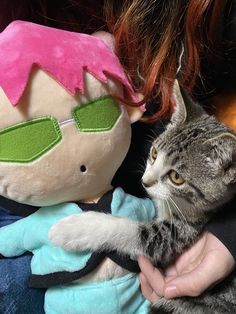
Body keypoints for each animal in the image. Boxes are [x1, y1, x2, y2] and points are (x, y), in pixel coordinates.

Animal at [48, 81, 235, 314]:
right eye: (154, 154)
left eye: (176, 177)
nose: (145, 182)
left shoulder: (183, 229)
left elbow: (137, 234)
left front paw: (74, 229)